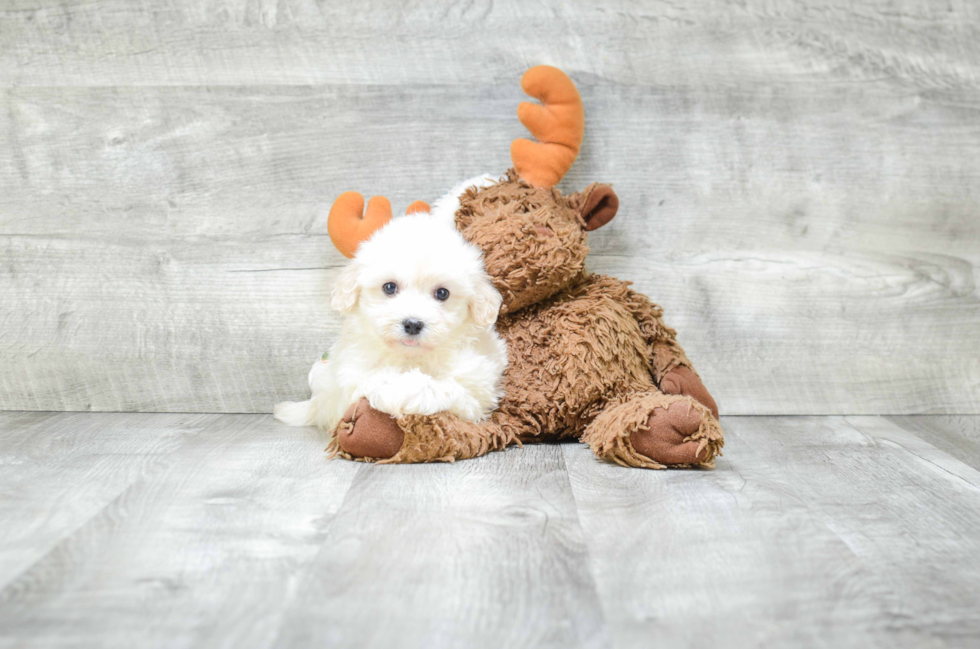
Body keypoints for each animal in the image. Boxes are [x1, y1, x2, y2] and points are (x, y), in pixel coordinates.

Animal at [274, 208, 506, 430]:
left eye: (442, 293)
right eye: (389, 287)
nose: (412, 324)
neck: (410, 357)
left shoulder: (475, 394)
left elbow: (444, 388)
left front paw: (406, 391)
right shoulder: (350, 380)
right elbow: (372, 381)